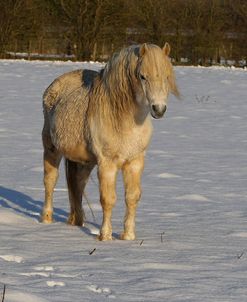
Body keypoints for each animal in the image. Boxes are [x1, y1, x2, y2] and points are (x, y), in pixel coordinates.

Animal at [41, 42, 178, 241]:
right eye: (142, 76)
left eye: (167, 76)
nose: (158, 109)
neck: (124, 120)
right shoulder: (107, 164)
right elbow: (108, 199)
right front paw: (105, 236)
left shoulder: (135, 162)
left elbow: (132, 197)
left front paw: (128, 236)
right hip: (51, 149)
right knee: (50, 181)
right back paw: (46, 219)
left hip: (85, 162)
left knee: (78, 186)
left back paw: (77, 222)